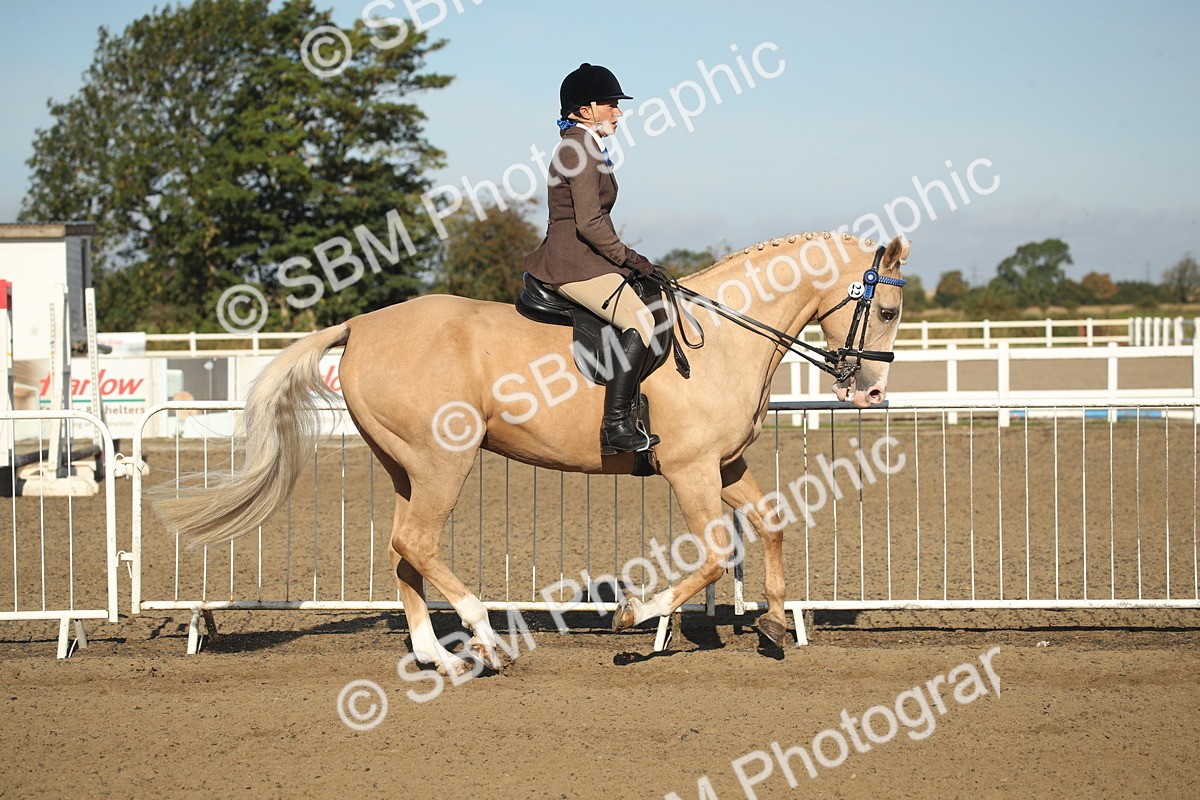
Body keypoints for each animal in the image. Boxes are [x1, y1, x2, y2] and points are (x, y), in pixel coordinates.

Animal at [152, 231, 908, 673]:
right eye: (890, 310)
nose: (870, 390)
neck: (723, 337)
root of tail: (361, 325)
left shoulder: (724, 465)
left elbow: (771, 525)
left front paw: (776, 625)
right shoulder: (689, 470)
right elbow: (718, 555)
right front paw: (635, 614)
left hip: (405, 466)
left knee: (401, 552)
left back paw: (436, 654)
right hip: (443, 461)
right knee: (417, 544)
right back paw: (485, 637)